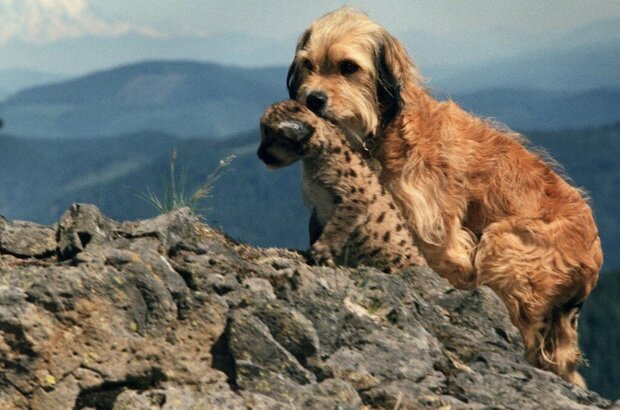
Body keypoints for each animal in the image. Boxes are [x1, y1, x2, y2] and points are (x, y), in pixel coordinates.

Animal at [288, 8, 604, 386]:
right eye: (307, 65)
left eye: (348, 66)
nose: (312, 99)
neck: (385, 132)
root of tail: (594, 258)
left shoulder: (437, 233)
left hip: (506, 247)